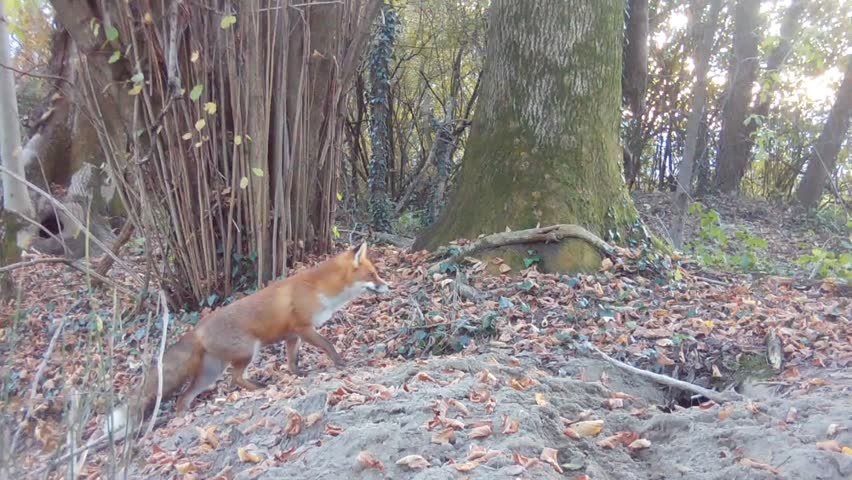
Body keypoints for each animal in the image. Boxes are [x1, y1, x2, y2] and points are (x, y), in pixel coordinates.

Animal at [104, 242, 390, 439]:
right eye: (372, 275)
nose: (388, 286)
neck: (320, 288)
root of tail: (197, 328)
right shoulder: (304, 328)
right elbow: (329, 346)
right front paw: (340, 363)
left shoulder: (293, 335)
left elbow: (292, 362)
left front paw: (298, 374)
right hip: (248, 352)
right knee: (235, 379)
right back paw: (258, 387)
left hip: (211, 372)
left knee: (184, 398)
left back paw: (185, 417)